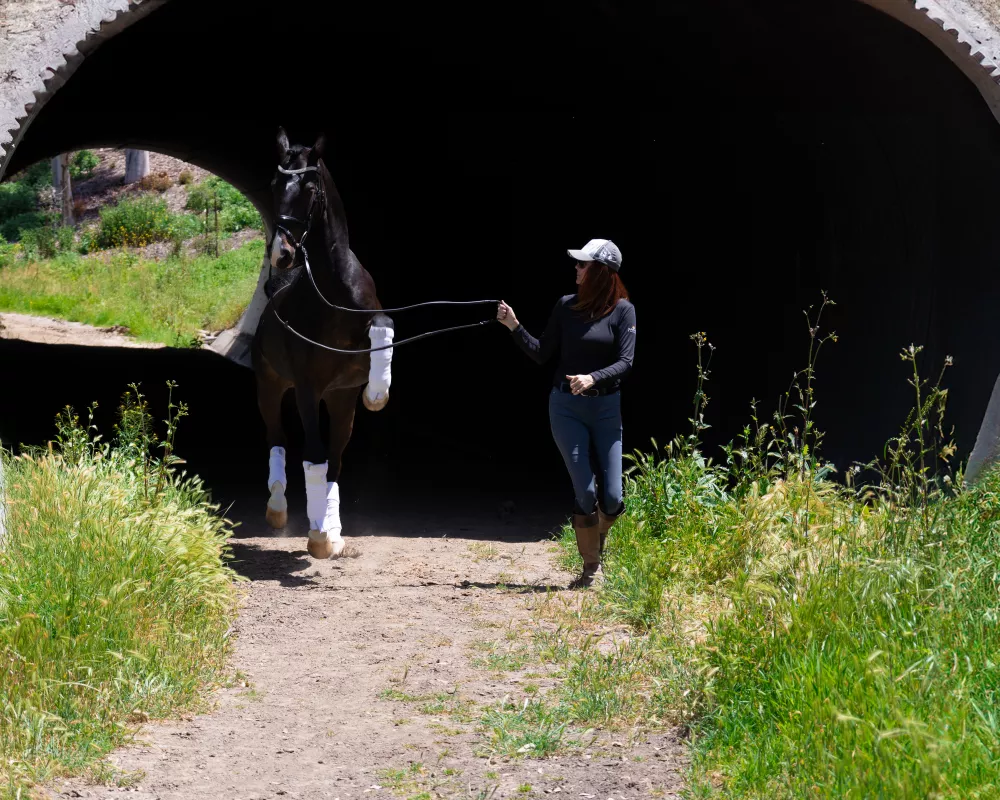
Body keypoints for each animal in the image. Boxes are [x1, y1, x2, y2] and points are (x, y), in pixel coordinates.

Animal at [254, 128, 394, 560]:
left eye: (310, 187)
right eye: (274, 183)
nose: (282, 253)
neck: (332, 288)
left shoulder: (348, 374)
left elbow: (385, 326)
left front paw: (378, 393)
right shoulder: (307, 387)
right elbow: (311, 459)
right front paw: (316, 537)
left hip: (339, 399)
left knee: (335, 458)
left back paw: (332, 531)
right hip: (272, 388)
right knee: (279, 442)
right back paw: (279, 510)